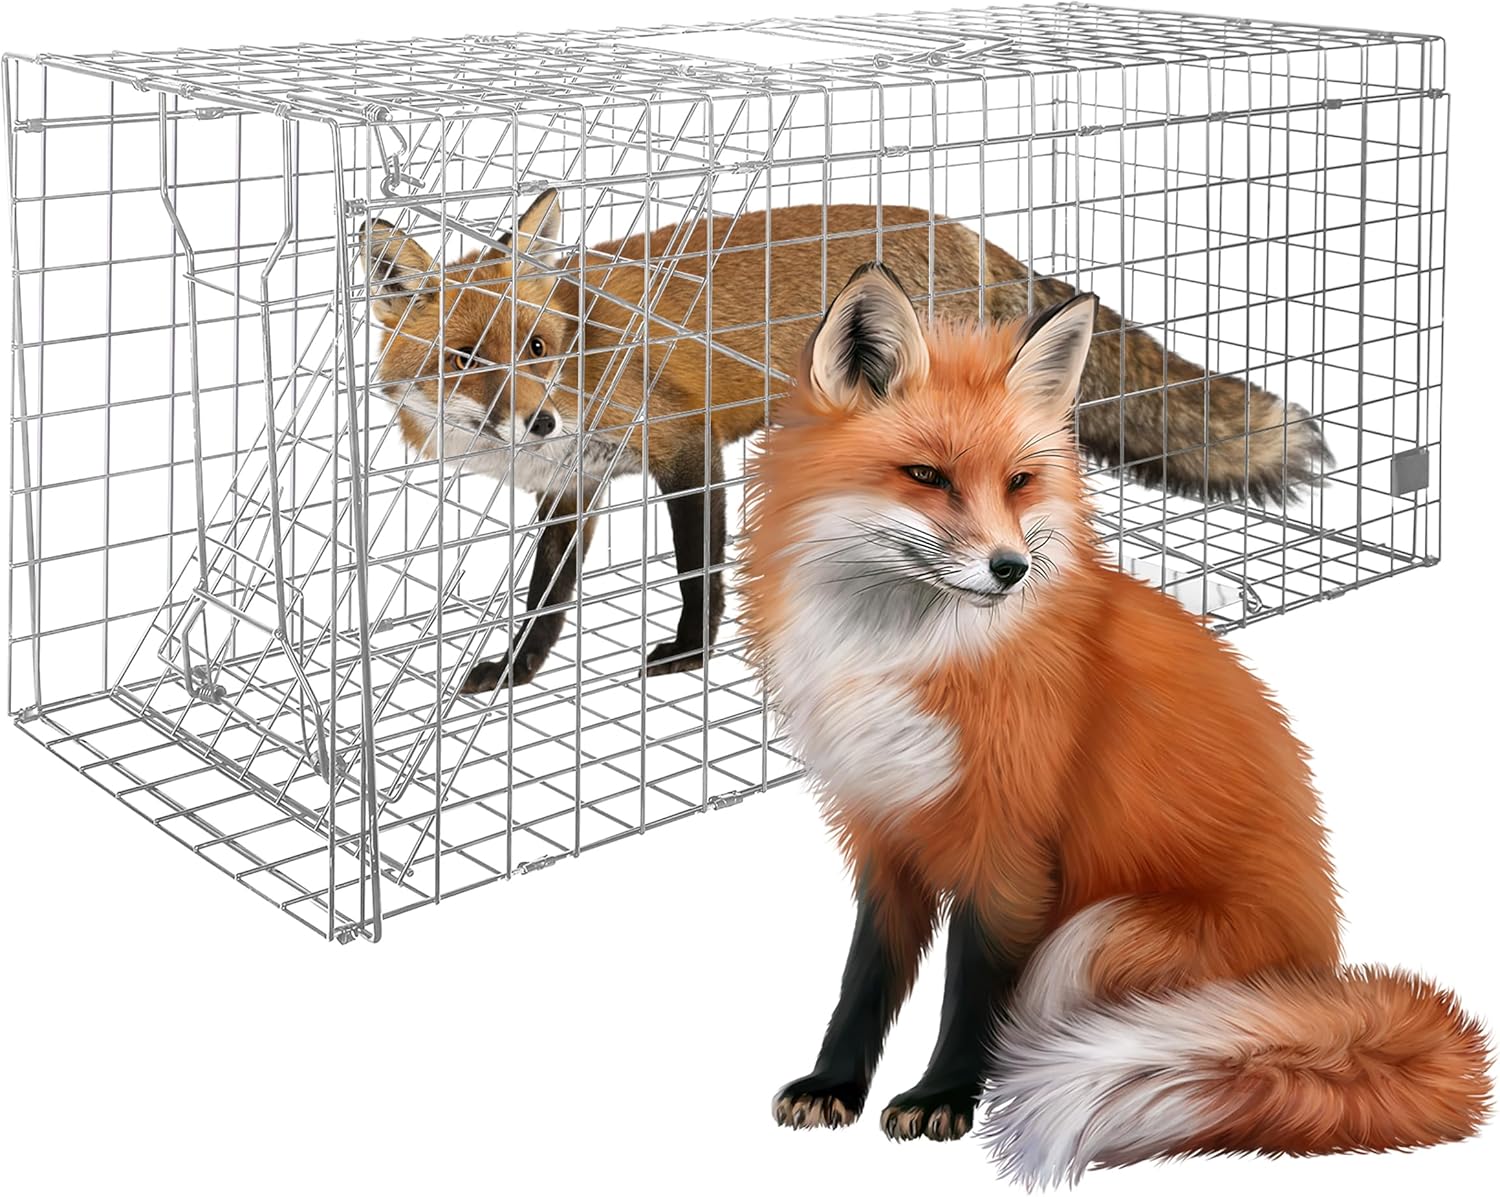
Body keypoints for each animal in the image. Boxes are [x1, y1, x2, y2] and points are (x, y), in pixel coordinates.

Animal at [360, 190, 1329, 694]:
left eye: (535, 348)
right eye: (463, 360)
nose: (539, 421)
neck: (591, 350)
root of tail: (967, 231)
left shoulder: (686, 447)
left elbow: (698, 570)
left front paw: (689, 654)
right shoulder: (573, 488)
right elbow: (545, 597)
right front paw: (515, 671)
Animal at [739, 263, 1489, 1185]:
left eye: (1020, 481)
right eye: (926, 474)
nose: (1012, 568)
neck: (908, 654)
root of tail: (1320, 972)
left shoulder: (1011, 844)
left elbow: (969, 992)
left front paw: (945, 1095)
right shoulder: (884, 830)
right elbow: (864, 979)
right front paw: (834, 1083)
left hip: (1095, 932)